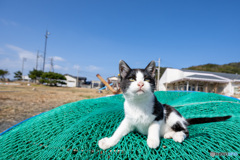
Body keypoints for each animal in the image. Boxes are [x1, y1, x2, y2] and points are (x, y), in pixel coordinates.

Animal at [98, 60, 231, 150]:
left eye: (146, 79)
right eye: (131, 79)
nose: (141, 84)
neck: (139, 104)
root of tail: (183, 119)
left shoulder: (159, 113)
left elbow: (153, 126)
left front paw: (152, 140)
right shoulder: (128, 119)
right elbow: (119, 130)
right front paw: (109, 141)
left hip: (171, 113)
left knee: (185, 130)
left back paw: (179, 135)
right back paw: (169, 134)